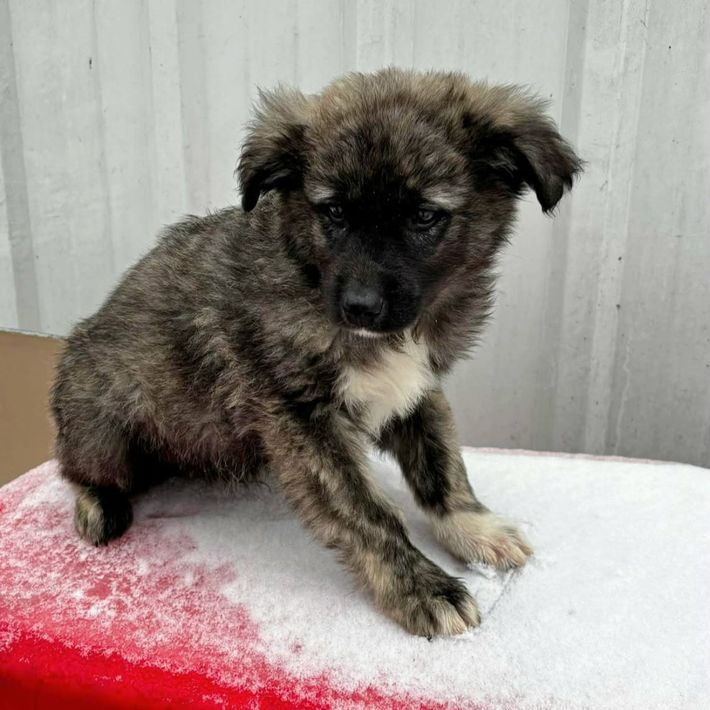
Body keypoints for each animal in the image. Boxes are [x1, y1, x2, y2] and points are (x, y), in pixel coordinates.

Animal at [51, 68, 580, 637]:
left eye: (424, 216)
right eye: (333, 213)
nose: (360, 307)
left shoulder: (416, 389)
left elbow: (441, 465)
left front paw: (472, 526)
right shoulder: (302, 417)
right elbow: (368, 514)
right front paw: (421, 586)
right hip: (104, 431)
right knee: (75, 468)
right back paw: (95, 505)